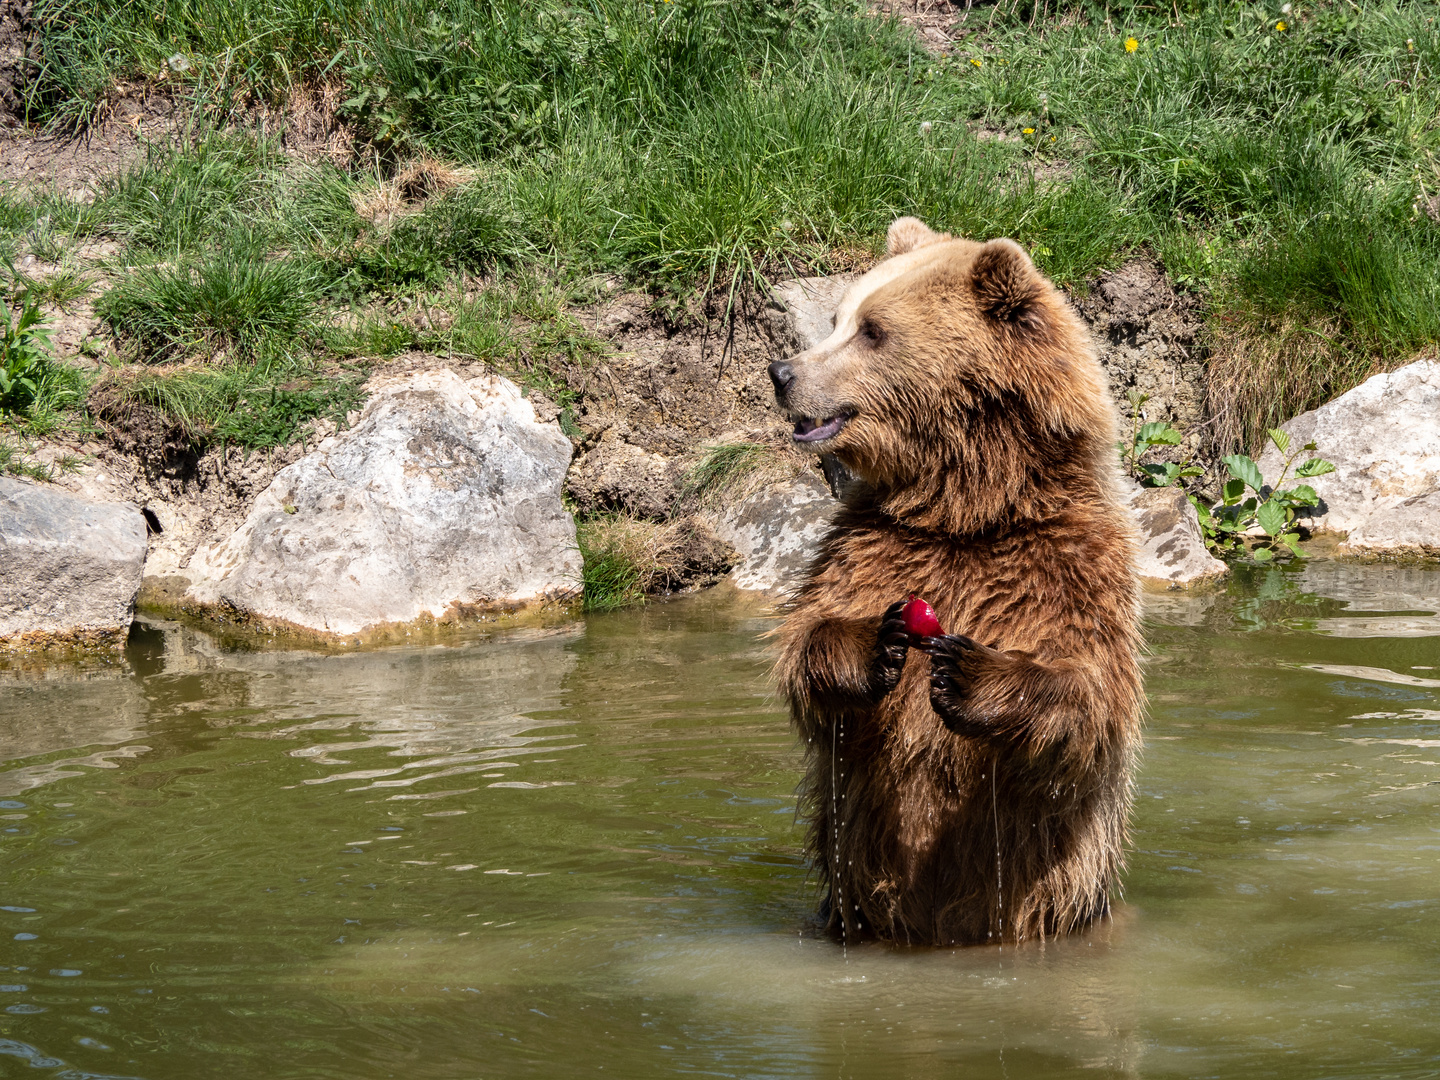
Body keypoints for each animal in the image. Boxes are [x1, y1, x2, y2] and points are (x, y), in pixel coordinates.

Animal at [768, 217, 1143, 947]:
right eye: (838, 317)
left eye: (874, 330)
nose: (783, 372)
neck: (968, 510)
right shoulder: (866, 548)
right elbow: (807, 648)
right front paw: (878, 646)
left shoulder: (1072, 565)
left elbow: (1088, 697)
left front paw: (966, 674)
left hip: (1066, 904)